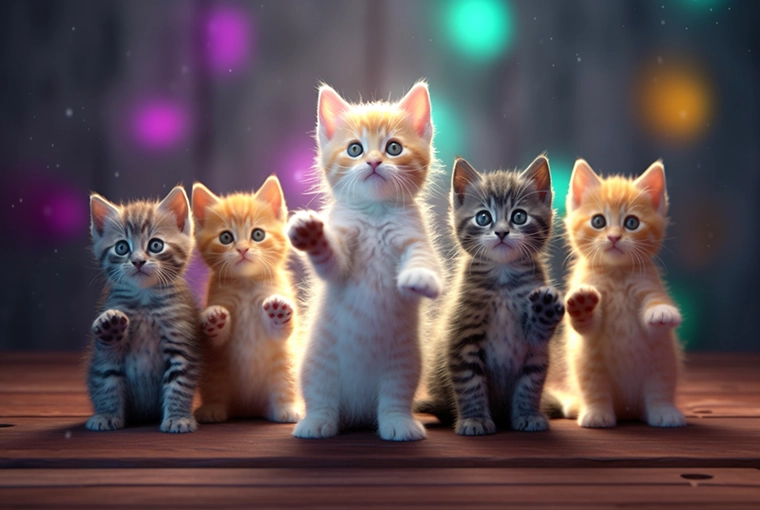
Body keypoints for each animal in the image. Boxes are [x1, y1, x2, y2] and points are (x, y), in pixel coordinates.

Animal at [86, 187, 202, 434]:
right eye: (121, 247)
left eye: (155, 245)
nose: (138, 261)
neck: (145, 302)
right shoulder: (106, 358)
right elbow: (107, 378)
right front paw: (107, 415)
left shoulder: (180, 340)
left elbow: (179, 383)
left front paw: (178, 418)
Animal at [191, 177, 302, 424]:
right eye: (226, 237)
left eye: (258, 234)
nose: (242, 249)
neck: (247, 284)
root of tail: (248, 409)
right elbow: (216, 339)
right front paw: (214, 319)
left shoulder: (281, 334)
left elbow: (282, 331)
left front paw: (278, 311)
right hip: (215, 369)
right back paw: (211, 408)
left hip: (287, 361)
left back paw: (287, 408)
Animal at [290, 81, 446, 440]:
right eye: (355, 150)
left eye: (393, 147)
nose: (374, 162)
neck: (376, 214)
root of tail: (360, 412)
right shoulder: (341, 254)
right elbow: (330, 261)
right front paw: (311, 234)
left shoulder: (417, 238)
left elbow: (424, 261)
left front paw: (420, 279)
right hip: (317, 363)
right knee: (321, 397)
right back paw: (316, 422)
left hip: (404, 365)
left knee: (394, 399)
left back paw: (398, 424)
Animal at [418, 154, 568, 434]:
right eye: (483, 218)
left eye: (519, 216)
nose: (501, 232)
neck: (503, 281)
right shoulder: (462, 337)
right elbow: (469, 383)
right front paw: (474, 419)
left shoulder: (534, 347)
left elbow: (530, 384)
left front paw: (528, 415)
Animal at [548, 158, 688, 426]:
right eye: (598, 221)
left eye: (631, 223)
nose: (614, 237)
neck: (616, 275)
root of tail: (627, 410)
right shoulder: (588, 327)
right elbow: (586, 326)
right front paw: (582, 306)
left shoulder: (648, 286)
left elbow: (655, 312)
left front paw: (663, 312)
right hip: (587, 362)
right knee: (595, 389)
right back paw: (595, 414)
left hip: (662, 362)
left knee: (659, 391)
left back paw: (665, 412)